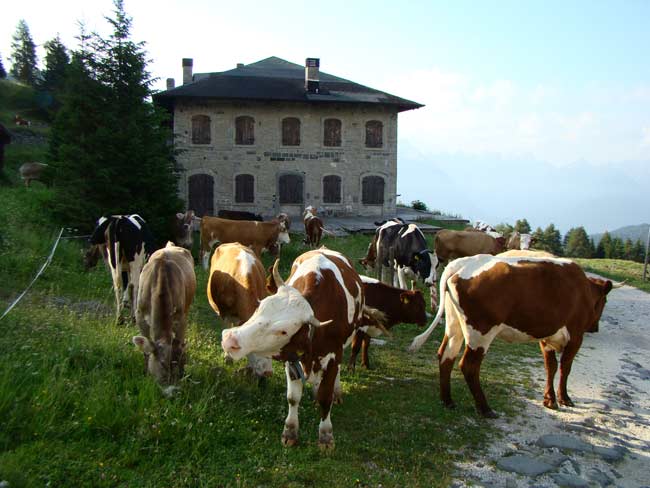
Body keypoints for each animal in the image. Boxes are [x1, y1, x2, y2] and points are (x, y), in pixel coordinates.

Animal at [130, 242, 194, 386]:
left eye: (174, 364)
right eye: (162, 364)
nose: (170, 386)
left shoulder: (181, 319)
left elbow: (179, 345)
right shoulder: (140, 316)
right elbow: (146, 351)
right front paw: (146, 372)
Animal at [223, 250, 372, 448]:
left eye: (283, 331)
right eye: (259, 308)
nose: (229, 339)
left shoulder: (334, 354)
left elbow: (326, 398)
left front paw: (326, 435)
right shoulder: (292, 358)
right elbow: (293, 397)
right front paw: (290, 431)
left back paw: (337, 391)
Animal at [408, 254, 612, 418]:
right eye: (604, 301)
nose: (595, 328)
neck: (583, 289)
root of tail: (463, 263)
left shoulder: (546, 337)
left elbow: (551, 367)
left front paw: (550, 400)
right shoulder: (576, 337)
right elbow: (565, 368)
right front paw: (564, 399)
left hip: (454, 326)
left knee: (445, 356)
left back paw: (448, 401)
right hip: (481, 333)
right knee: (468, 366)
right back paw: (485, 409)